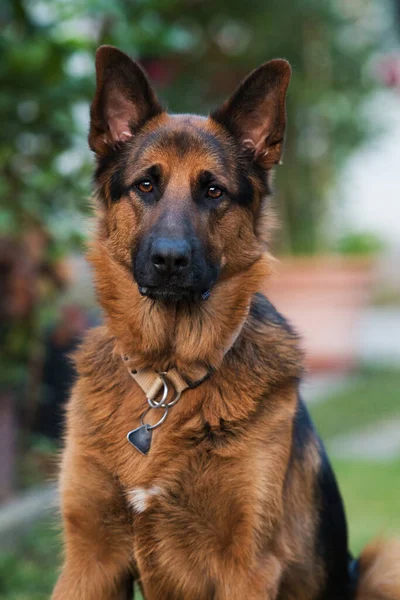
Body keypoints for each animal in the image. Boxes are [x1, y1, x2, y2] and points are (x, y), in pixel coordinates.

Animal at [53, 47, 400, 600]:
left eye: (213, 191)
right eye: (145, 184)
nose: (169, 260)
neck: (168, 380)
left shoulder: (246, 567)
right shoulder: (89, 560)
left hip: (382, 560)